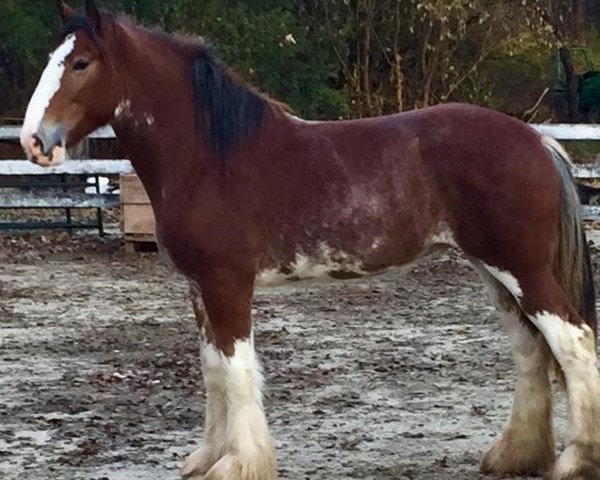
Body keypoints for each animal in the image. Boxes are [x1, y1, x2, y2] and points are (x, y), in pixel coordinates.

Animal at [19, 0, 600, 480]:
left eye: (80, 63)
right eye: (51, 59)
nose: (34, 142)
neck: (212, 159)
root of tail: (537, 139)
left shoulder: (227, 284)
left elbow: (236, 371)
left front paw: (240, 464)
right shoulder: (198, 287)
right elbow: (212, 371)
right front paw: (208, 457)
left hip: (521, 268)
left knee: (573, 343)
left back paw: (575, 461)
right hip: (492, 269)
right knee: (531, 349)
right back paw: (515, 456)